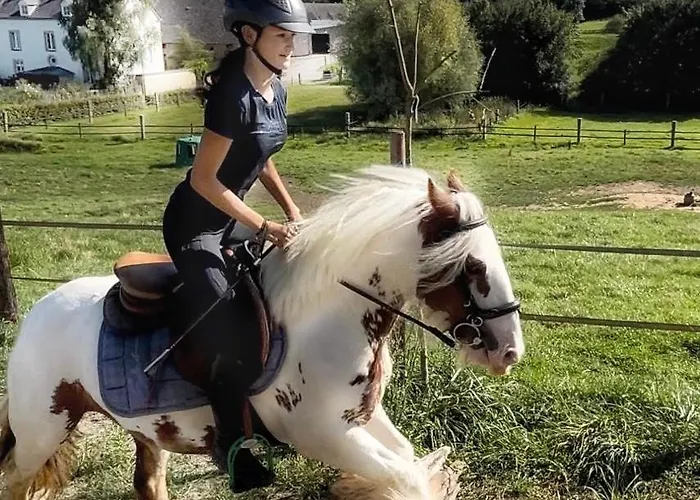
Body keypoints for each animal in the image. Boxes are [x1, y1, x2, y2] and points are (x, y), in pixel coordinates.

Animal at [0, 165, 524, 500]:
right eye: (473, 266)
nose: (510, 351)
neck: (324, 320)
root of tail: (35, 314)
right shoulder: (325, 435)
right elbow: (408, 480)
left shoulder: (363, 418)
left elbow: (410, 465)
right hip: (41, 430)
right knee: (15, 482)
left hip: (142, 430)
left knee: (148, 483)